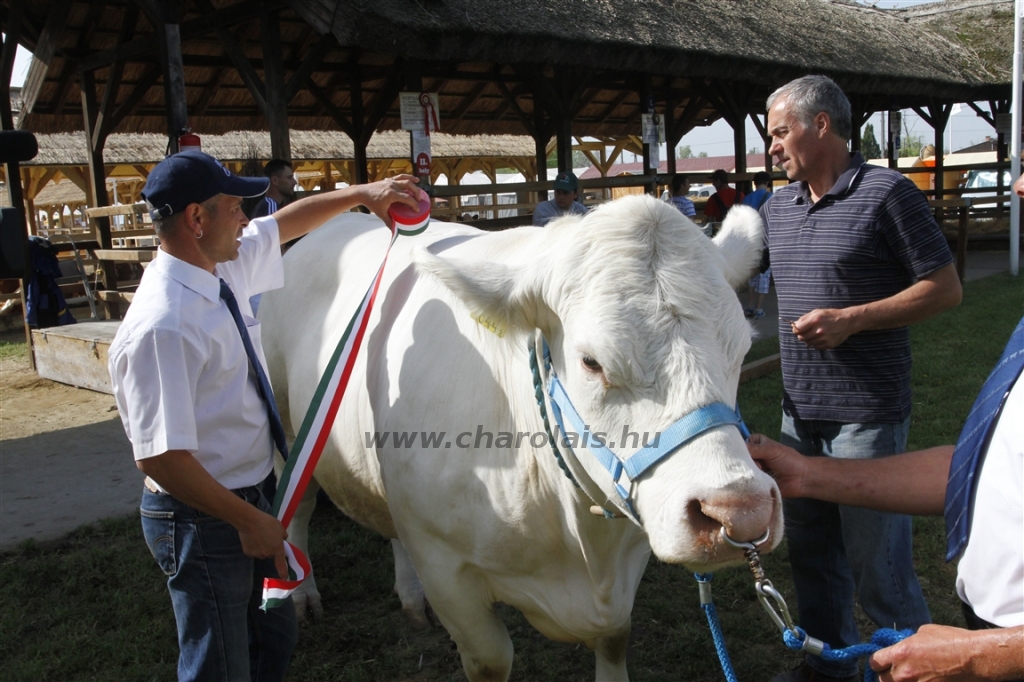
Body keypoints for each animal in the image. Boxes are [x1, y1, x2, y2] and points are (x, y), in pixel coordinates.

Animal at [258, 193, 782, 675]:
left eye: (741, 348)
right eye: (591, 362)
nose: (740, 512)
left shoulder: (627, 562)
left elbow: (615, 641)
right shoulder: (449, 573)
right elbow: (491, 659)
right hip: (286, 429)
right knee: (296, 509)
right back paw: (301, 596)